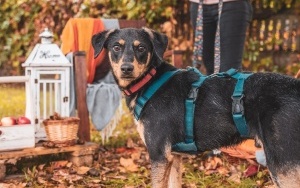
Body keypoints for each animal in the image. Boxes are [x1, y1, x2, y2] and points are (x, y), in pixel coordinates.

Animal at [91, 27, 300, 187]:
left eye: (141, 48)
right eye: (116, 47)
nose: (126, 68)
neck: (149, 80)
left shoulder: (159, 155)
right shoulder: (174, 157)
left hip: (282, 163)